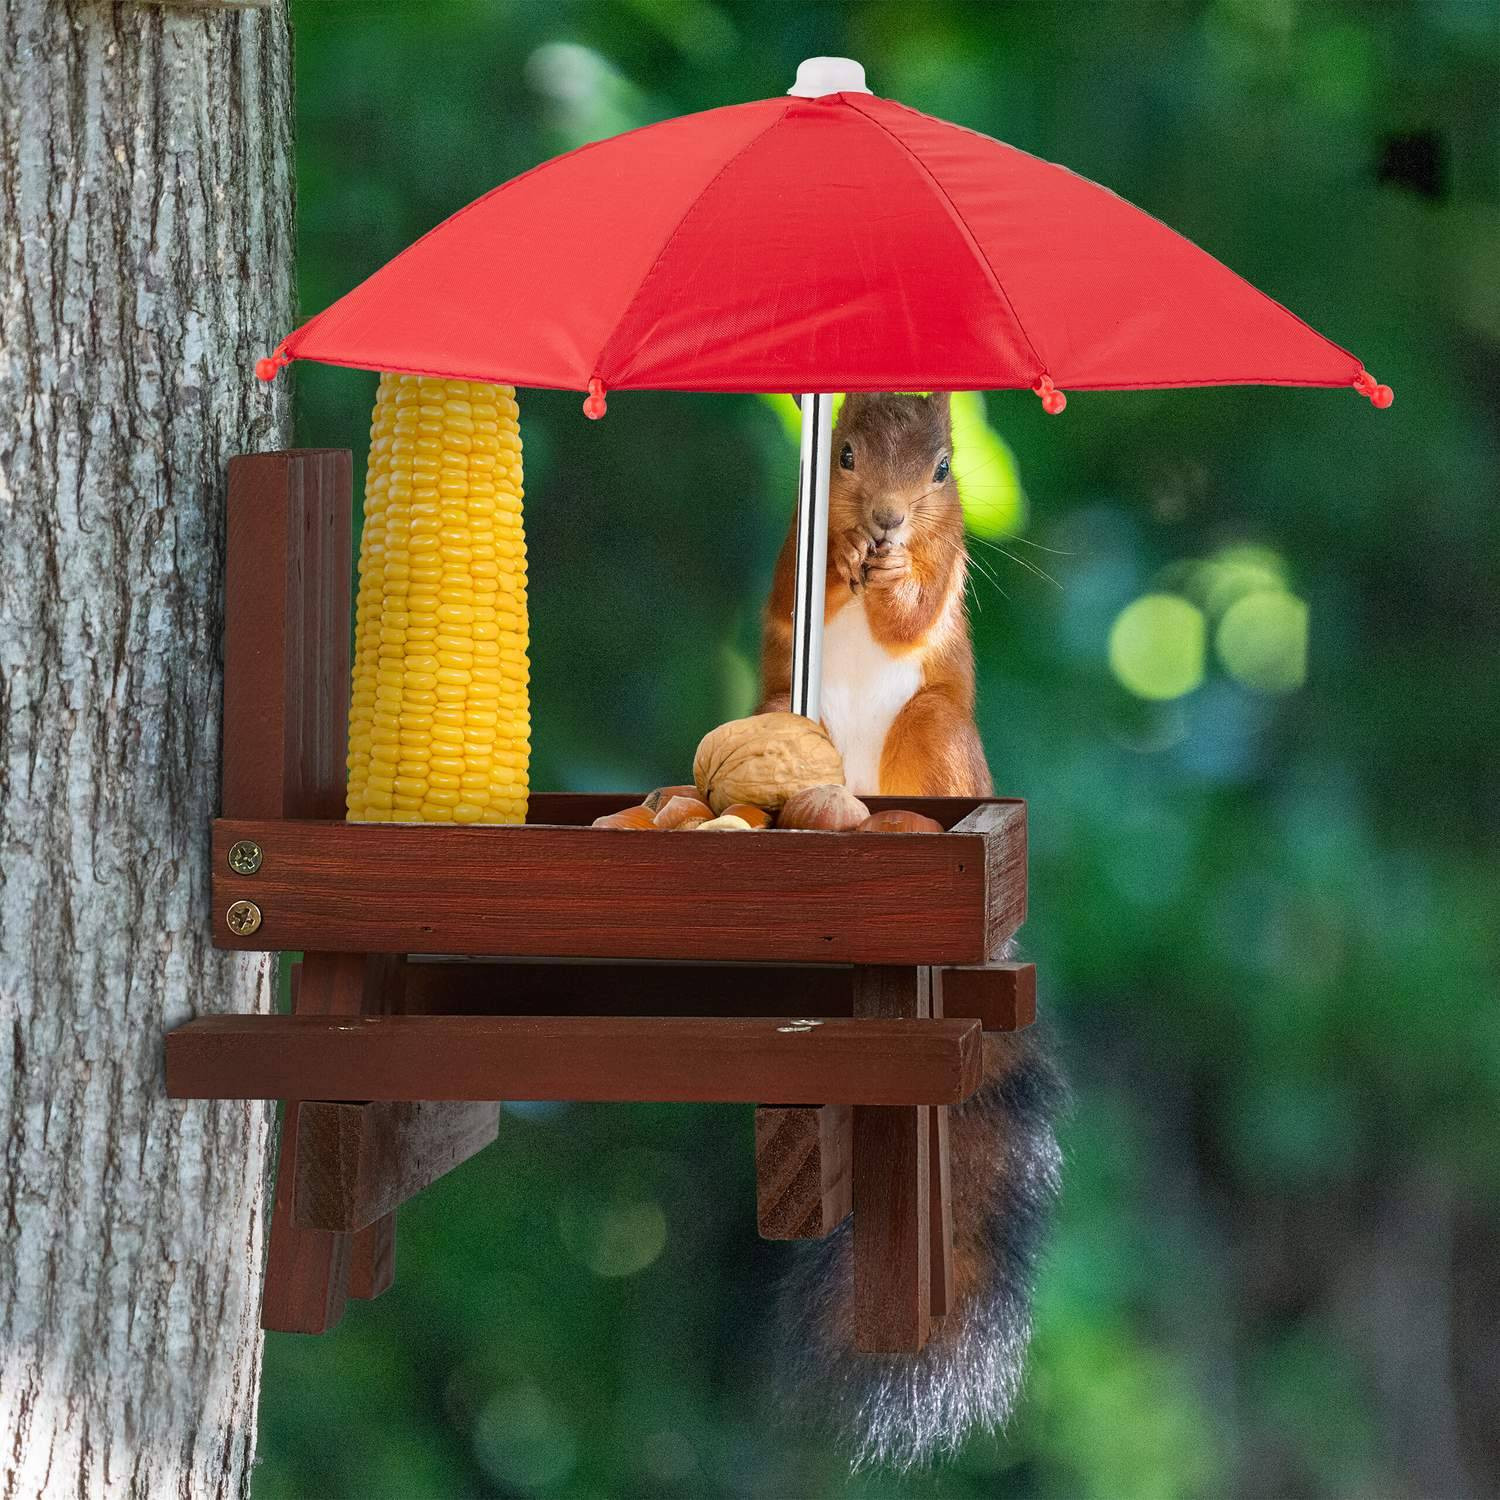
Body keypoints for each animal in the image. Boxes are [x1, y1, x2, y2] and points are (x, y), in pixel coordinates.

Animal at [757, 393, 1067, 1470]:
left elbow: (920, 612)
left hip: (934, 740)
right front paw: (847, 553)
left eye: (942, 469)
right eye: (842, 455)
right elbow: (795, 591)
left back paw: (894, 827)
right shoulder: (792, 549)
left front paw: (891, 581)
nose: (886, 523)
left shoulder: (952, 558)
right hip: (777, 715)